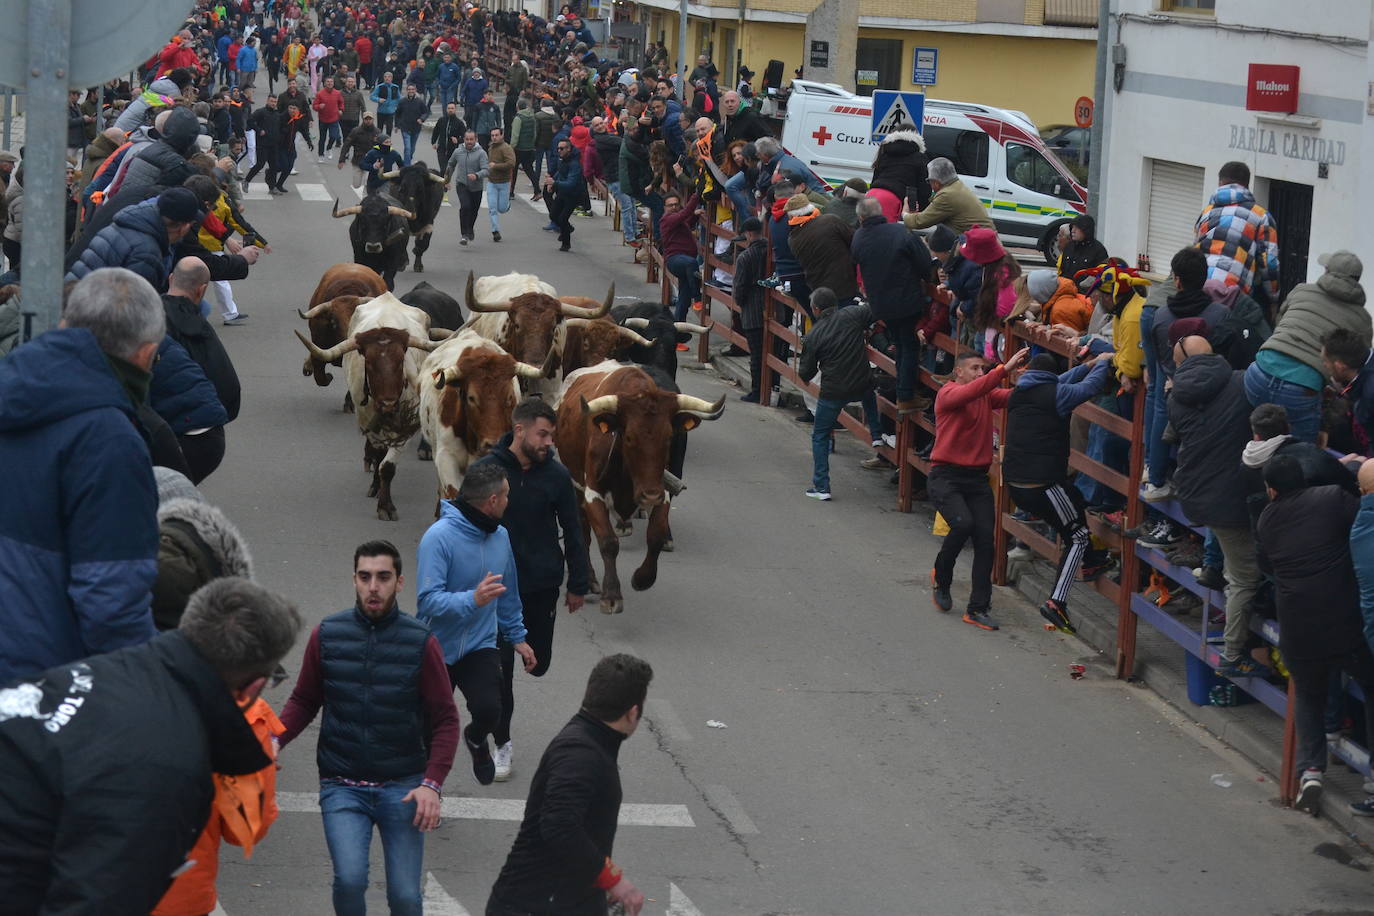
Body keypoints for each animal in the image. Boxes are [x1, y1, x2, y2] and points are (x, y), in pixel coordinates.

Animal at [557, 365, 730, 615]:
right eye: (629, 437)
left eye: (669, 436)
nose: (649, 495)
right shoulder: (592, 493)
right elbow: (608, 542)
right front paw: (612, 595)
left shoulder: (662, 490)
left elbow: (655, 536)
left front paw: (642, 578)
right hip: (576, 486)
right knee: (583, 532)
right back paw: (589, 580)